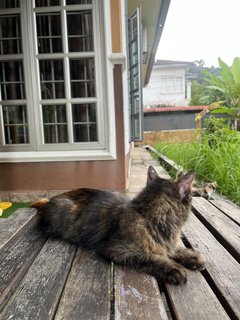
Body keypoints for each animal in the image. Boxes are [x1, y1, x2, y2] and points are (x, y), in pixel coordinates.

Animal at [31, 166, 205, 284]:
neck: (149, 216)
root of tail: (50, 199)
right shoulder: (119, 250)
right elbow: (152, 257)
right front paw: (172, 268)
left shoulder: (169, 244)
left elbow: (176, 249)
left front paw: (193, 257)